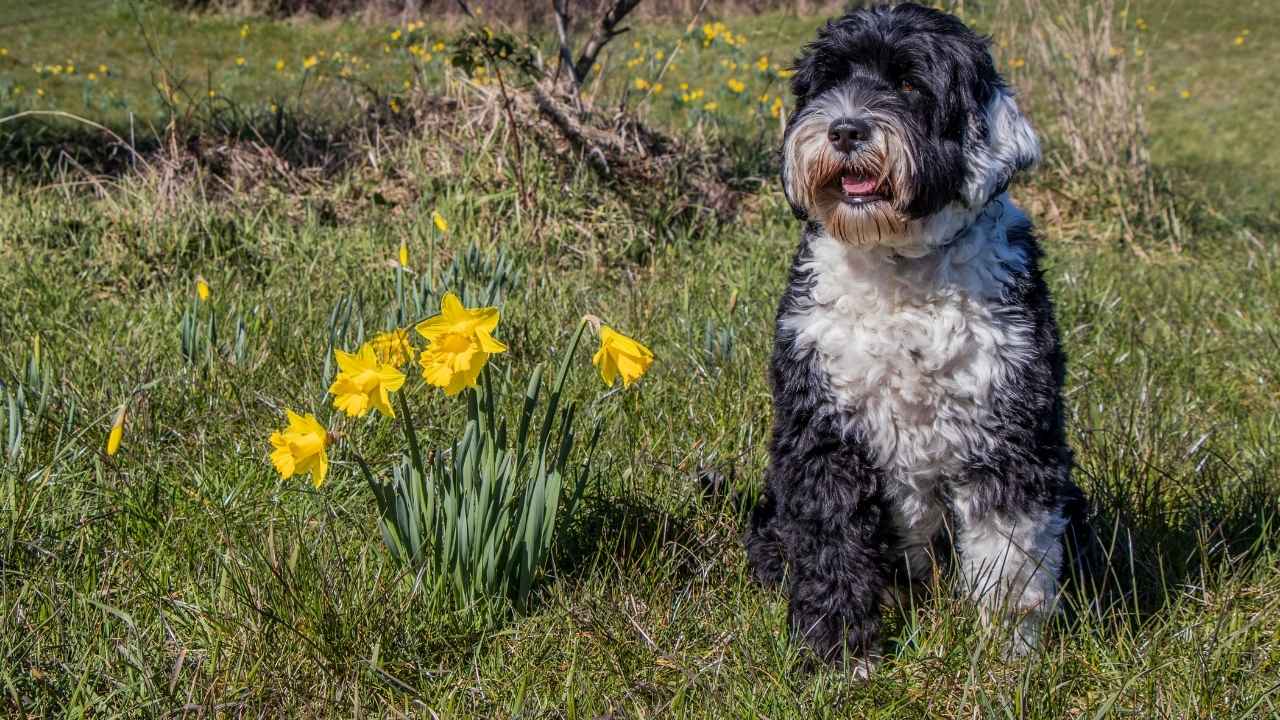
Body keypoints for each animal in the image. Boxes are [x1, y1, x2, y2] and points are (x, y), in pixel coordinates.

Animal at [747, 2, 1085, 671]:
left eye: (909, 84)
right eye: (828, 82)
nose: (845, 130)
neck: (899, 266)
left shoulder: (1011, 436)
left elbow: (1010, 558)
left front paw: (1005, 659)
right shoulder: (824, 434)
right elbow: (833, 544)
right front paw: (837, 654)